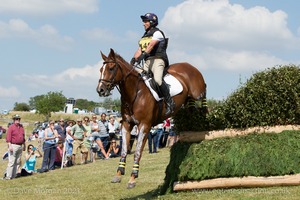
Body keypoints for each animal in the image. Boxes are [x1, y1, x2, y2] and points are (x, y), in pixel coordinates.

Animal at [96, 48, 206, 189]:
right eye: (101, 69)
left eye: (111, 68)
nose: (100, 90)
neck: (134, 94)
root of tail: (190, 65)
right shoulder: (126, 124)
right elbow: (124, 150)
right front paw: (119, 174)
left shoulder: (144, 125)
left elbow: (137, 152)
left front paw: (133, 178)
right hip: (188, 100)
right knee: (192, 109)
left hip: (198, 92)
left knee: (204, 95)